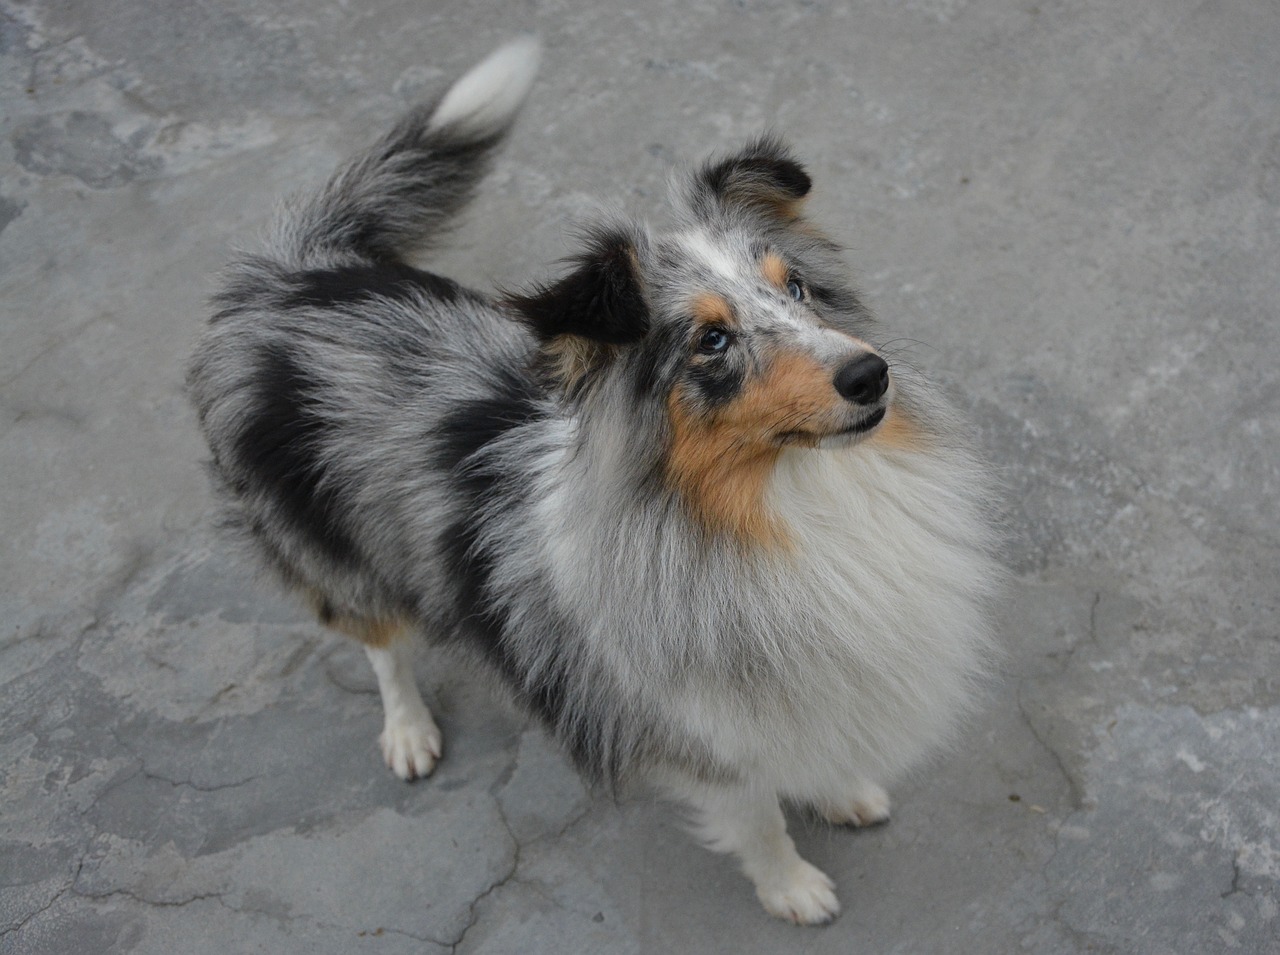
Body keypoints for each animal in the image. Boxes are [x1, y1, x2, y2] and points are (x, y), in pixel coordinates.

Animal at [186, 39, 998, 921]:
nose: (870, 375)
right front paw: (792, 888)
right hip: (334, 545)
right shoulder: (699, 723)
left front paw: (842, 790)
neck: (771, 501)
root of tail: (289, 276)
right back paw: (407, 732)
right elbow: (756, 814)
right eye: (711, 341)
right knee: (378, 643)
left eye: (798, 287)